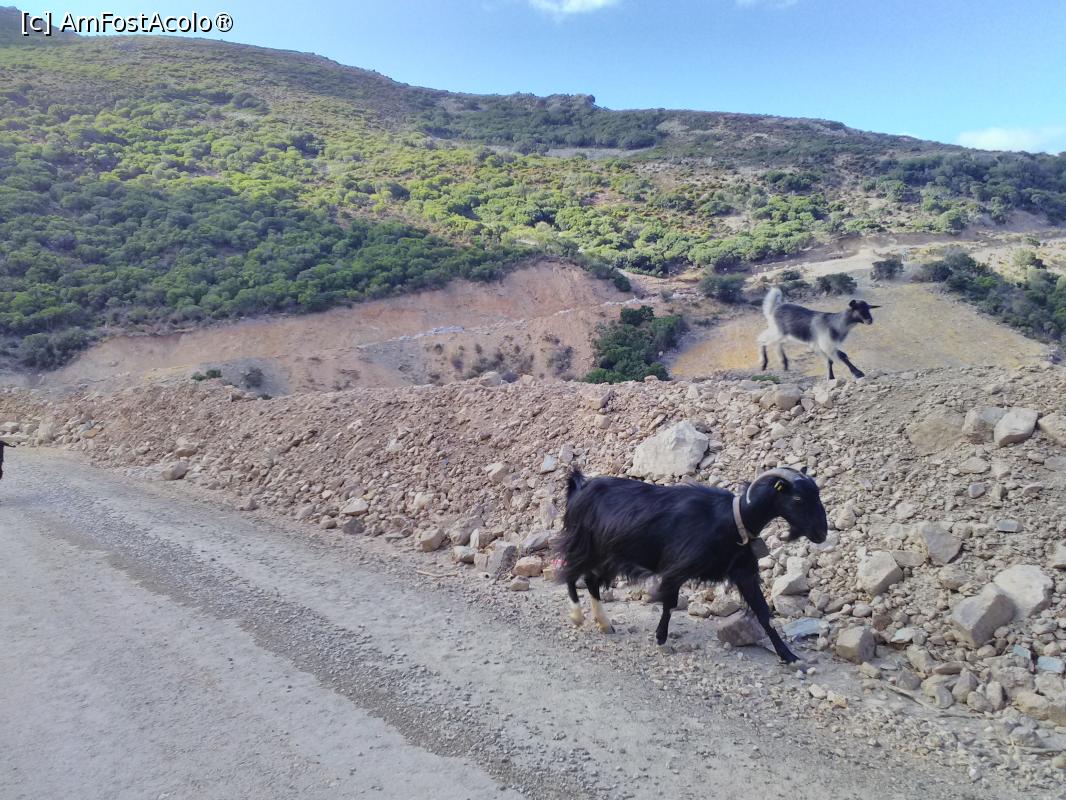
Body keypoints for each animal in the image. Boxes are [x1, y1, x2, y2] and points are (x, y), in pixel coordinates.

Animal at [557, 466, 827, 663]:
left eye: (817, 495)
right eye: (798, 499)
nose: (821, 533)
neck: (734, 519)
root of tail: (579, 489)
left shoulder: (744, 572)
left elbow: (763, 613)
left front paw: (789, 656)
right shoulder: (677, 568)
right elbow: (669, 604)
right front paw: (661, 639)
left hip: (607, 555)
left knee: (591, 580)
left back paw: (604, 623)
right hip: (585, 544)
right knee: (569, 572)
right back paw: (577, 616)